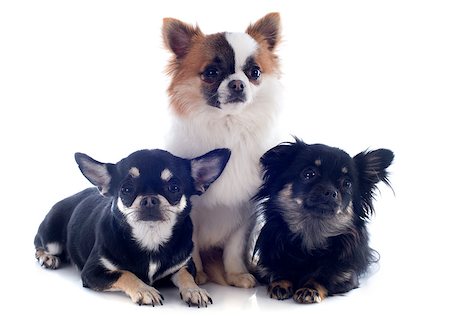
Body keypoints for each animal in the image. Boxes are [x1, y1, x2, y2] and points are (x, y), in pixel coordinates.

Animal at [35, 148, 230, 306]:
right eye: (126, 189)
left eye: (174, 187)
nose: (149, 199)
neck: (151, 236)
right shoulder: (92, 272)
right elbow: (125, 273)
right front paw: (145, 290)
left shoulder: (184, 265)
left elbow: (186, 275)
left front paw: (194, 290)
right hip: (53, 240)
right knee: (39, 244)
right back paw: (47, 257)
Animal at [162, 12, 282, 288]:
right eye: (211, 73)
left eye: (255, 72)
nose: (238, 83)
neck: (228, 127)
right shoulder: (190, 213)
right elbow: (192, 244)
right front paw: (196, 274)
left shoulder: (244, 209)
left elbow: (235, 247)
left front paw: (236, 274)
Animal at [251, 139, 392, 304]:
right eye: (308, 174)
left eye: (347, 184)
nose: (331, 192)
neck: (311, 234)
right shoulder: (268, 264)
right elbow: (278, 271)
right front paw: (281, 283)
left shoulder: (345, 276)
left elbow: (323, 277)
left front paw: (309, 288)